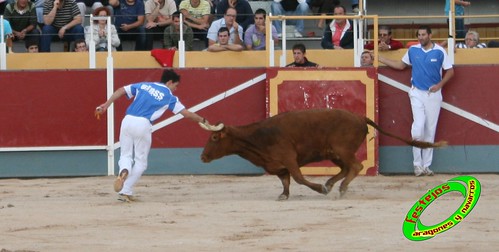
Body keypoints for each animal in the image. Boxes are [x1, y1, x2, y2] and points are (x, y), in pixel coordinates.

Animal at [201, 108, 448, 201]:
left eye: (214, 138)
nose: (202, 158)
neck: (257, 138)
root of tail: (360, 117)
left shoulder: (289, 159)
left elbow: (299, 178)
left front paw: (319, 188)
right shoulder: (278, 166)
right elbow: (286, 181)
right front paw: (284, 195)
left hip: (342, 149)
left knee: (355, 167)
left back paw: (338, 188)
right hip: (336, 153)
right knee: (346, 168)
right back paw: (332, 183)